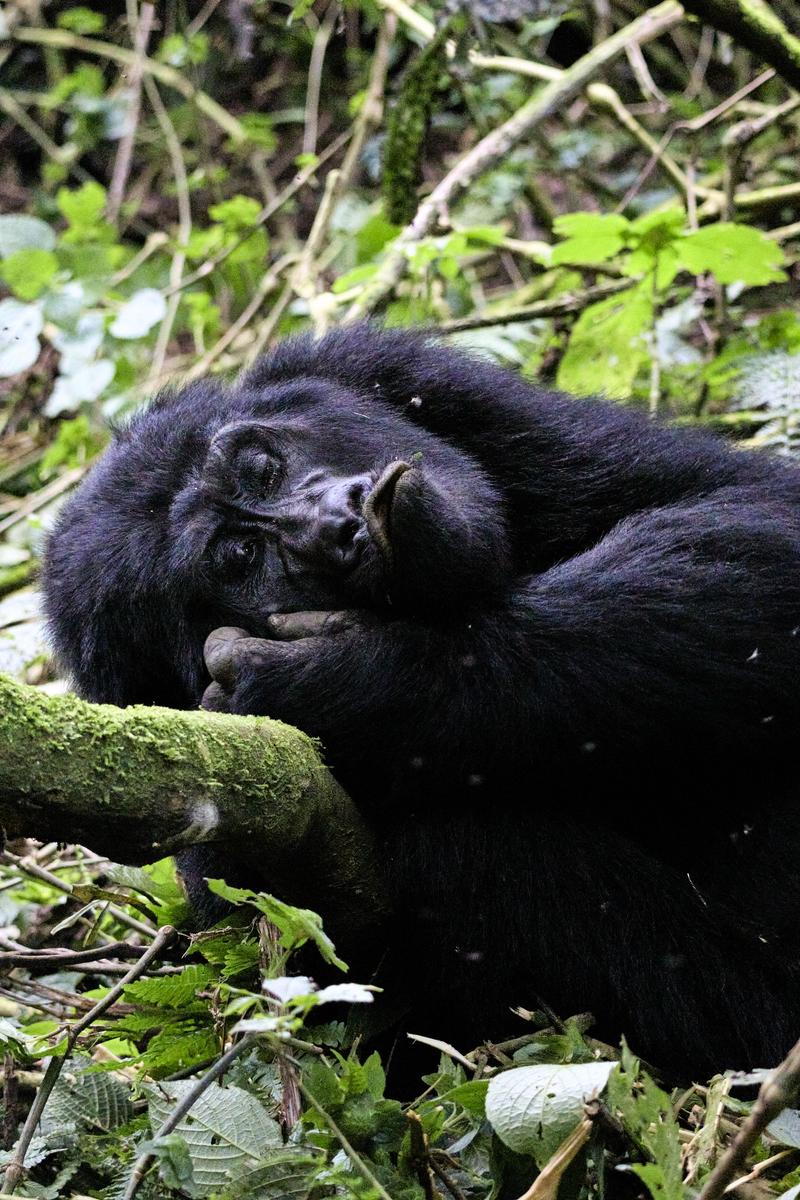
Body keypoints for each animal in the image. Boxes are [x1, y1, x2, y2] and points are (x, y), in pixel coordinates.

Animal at [45, 321, 800, 1080]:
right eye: (239, 557)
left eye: (261, 469)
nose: (336, 521)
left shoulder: (397, 373)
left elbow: (755, 511)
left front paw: (347, 680)